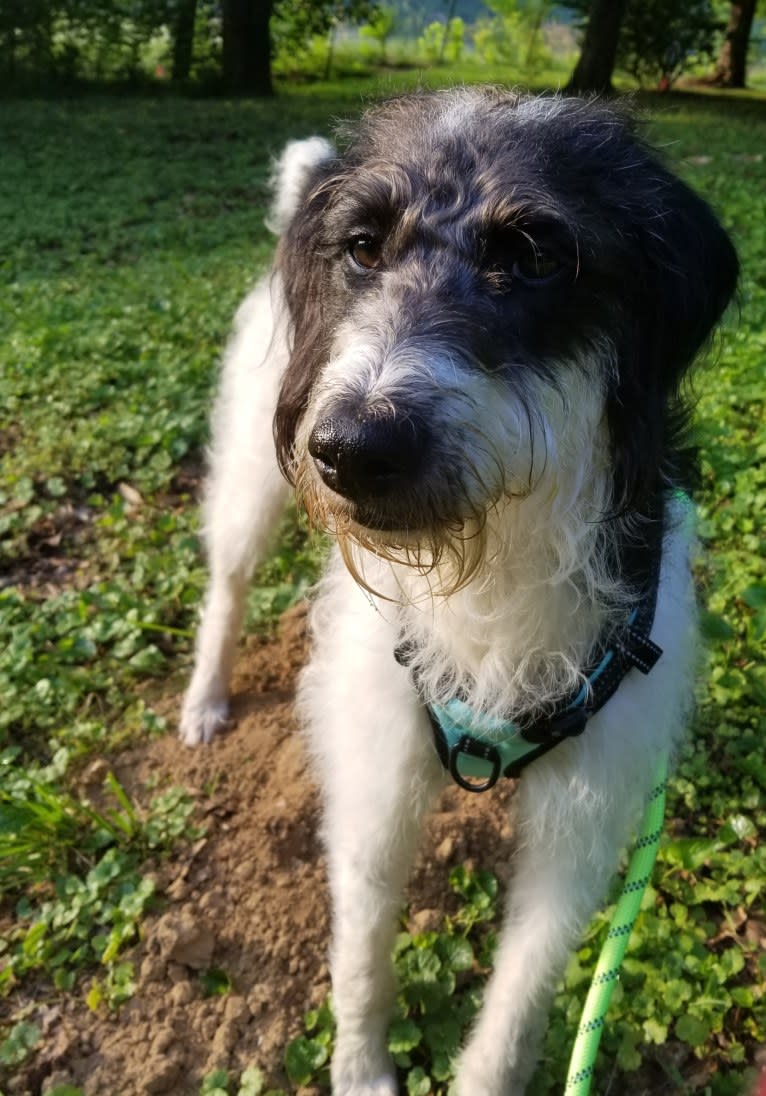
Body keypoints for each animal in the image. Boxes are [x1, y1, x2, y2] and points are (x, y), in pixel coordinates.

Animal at [179, 89, 736, 1091]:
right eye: (363, 248)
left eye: (534, 256)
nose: (352, 449)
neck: (491, 570)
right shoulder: (375, 775)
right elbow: (363, 950)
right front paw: (361, 1068)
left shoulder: (582, 820)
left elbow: (518, 999)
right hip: (253, 471)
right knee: (228, 583)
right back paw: (206, 697)